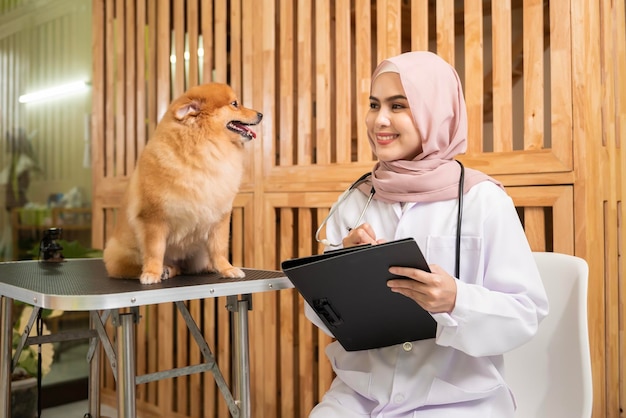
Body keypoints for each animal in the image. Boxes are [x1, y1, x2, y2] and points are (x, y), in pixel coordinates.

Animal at [102, 82, 260, 284]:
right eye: (235, 104)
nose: (261, 114)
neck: (206, 148)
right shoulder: (154, 219)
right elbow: (154, 250)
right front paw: (151, 273)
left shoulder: (220, 217)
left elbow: (219, 248)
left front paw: (227, 269)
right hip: (123, 254)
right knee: (137, 265)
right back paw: (164, 269)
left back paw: (201, 267)